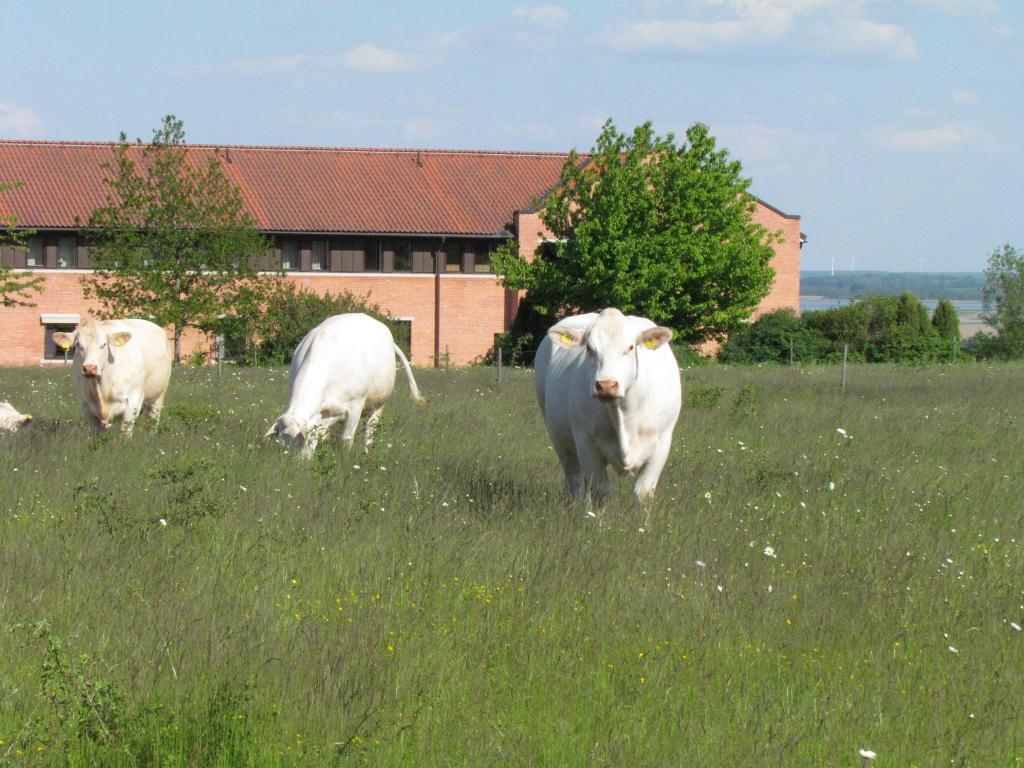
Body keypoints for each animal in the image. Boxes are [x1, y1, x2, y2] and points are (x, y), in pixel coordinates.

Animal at [266, 313, 425, 456]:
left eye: (301, 442)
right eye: (281, 445)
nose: (295, 464)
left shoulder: (355, 406)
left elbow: (346, 440)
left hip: (379, 405)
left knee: (369, 432)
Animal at [536, 309, 679, 507]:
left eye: (630, 347)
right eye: (589, 349)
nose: (606, 385)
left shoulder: (662, 441)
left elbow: (644, 492)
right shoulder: (585, 441)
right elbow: (600, 490)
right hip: (560, 439)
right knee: (576, 481)